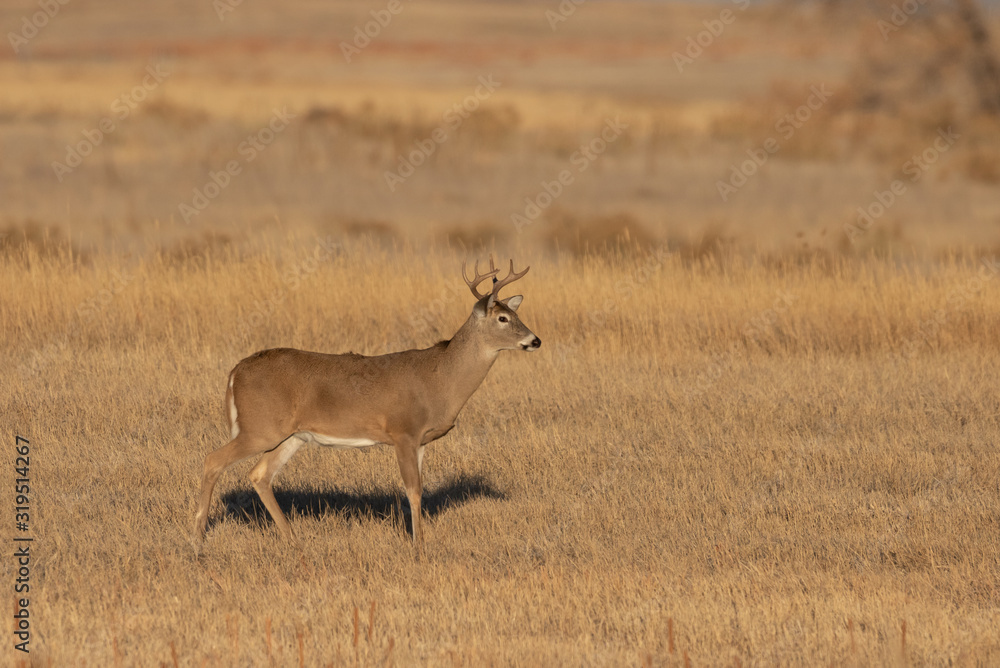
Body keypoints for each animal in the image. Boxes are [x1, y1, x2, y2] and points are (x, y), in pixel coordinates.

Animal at [193, 258, 540, 554]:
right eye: (503, 318)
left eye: (518, 314)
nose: (535, 340)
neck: (439, 378)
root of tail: (235, 372)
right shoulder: (403, 432)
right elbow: (413, 490)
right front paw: (419, 547)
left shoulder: (421, 441)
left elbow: (419, 490)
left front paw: (419, 540)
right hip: (260, 427)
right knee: (213, 460)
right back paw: (198, 539)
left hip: (290, 436)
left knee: (259, 475)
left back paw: (295, 540)